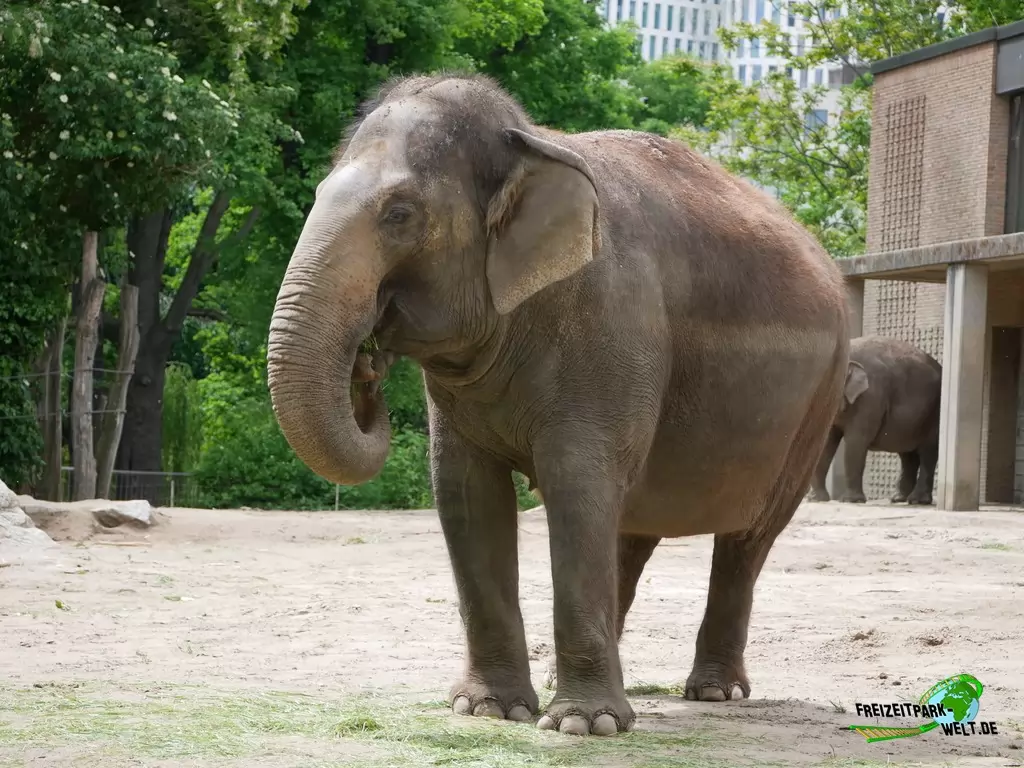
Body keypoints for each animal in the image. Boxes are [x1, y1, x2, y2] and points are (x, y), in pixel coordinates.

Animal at [266, 73, 850, 737]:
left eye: (400, 214)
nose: (367, 366)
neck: (528, 141)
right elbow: (466, 493)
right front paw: (490, 710)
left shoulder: (610, 330)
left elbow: (576, 482)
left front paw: (583, 726)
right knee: (631, 528)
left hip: (816, 406)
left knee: (745, 541)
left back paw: (712, 693)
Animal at [807, 335, 942, 505]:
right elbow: (826, 443)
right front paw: (816, 500)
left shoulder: (871, 397)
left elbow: (856, 442)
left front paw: (851, 501)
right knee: (907, 455)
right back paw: (898, 498)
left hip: (934, 412)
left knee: (927, 452)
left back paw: (917, 501)